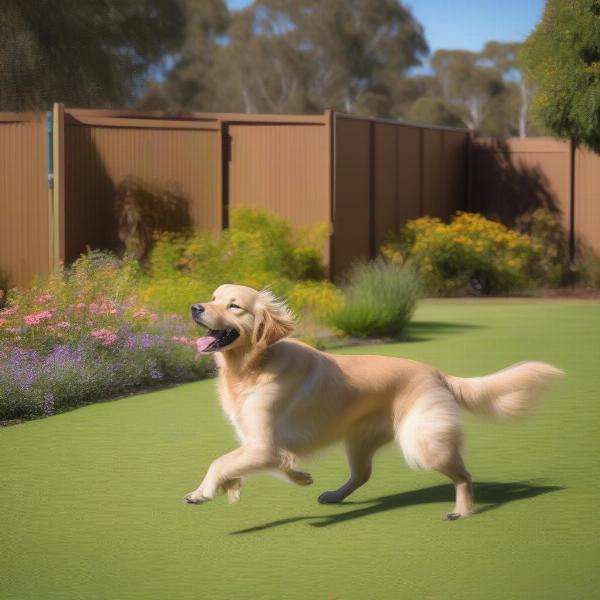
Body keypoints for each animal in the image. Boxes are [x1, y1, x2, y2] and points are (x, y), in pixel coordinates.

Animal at [184, 284, 564, 516]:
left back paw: (461, 510)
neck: (253, 366)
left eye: (234, 305)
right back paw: (334, 495)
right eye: (213, 296)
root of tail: (436, 372)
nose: (194, 307)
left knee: (464, 475)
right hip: (358, 441)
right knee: (362, 474)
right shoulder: (260, 444)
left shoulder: (262, 443)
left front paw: (203, 491)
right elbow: (271, 464)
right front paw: (294, 478)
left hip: (422, 442)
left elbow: (220, 462)